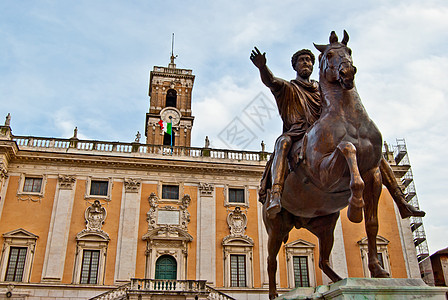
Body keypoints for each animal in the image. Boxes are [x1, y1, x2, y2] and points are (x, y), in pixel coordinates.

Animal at [264, 31, 390, 300]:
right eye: (329, 54)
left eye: (349, 51)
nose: (347, 72)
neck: (349, 118)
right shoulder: (322, 172)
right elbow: (347, 148)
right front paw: (355, 206)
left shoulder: (374, 175)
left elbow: (372, 224)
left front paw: (377, 269)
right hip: (275, 227)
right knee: (271, 261)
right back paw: (274, 294)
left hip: (325, 225)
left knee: (322, 261)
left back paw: (339, 280)